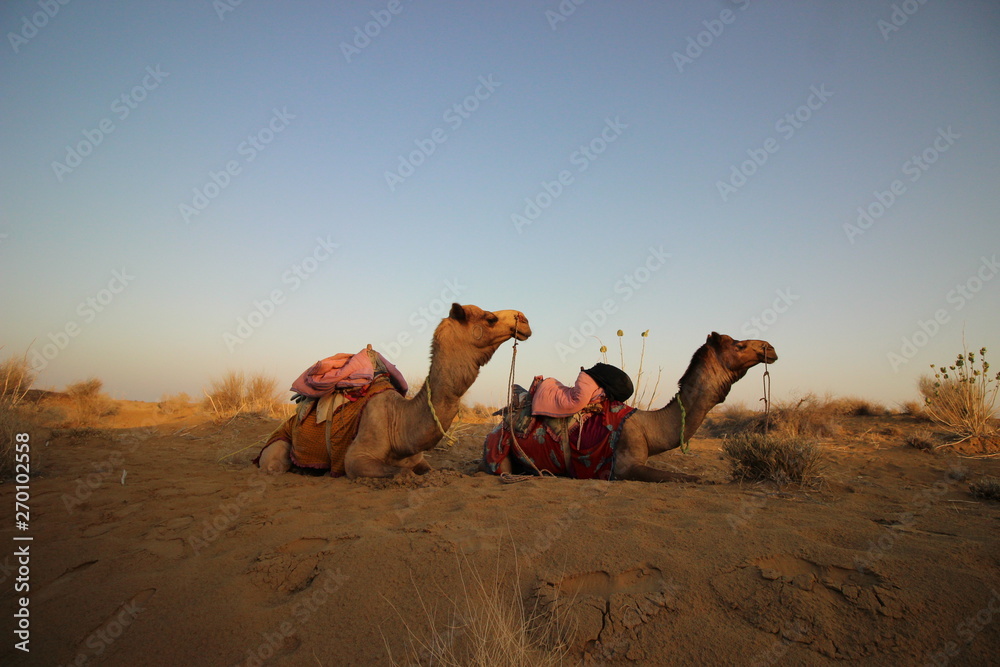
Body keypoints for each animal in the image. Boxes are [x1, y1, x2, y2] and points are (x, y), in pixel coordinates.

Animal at [258, 303, 531, 478]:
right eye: (489, 318)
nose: (524, 319)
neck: (398, 423)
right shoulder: (355, 458)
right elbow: (400, 472)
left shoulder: (418, 458)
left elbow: (426, 469)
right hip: (277, 448)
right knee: (274, 464)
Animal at [487, 332, 776, 482]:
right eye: (739, 345)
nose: (769, 347)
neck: (649, 426)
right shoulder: (625, 467)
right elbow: (686, 477)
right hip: (498, 455)